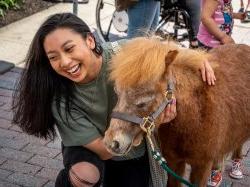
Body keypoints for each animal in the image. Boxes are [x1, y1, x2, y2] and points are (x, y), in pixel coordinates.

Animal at [103, 37, 250, 186]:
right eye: (117, 94)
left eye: (143, 102)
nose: (111, 143)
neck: (195, 118)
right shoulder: (173, 161)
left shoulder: (202, 166)